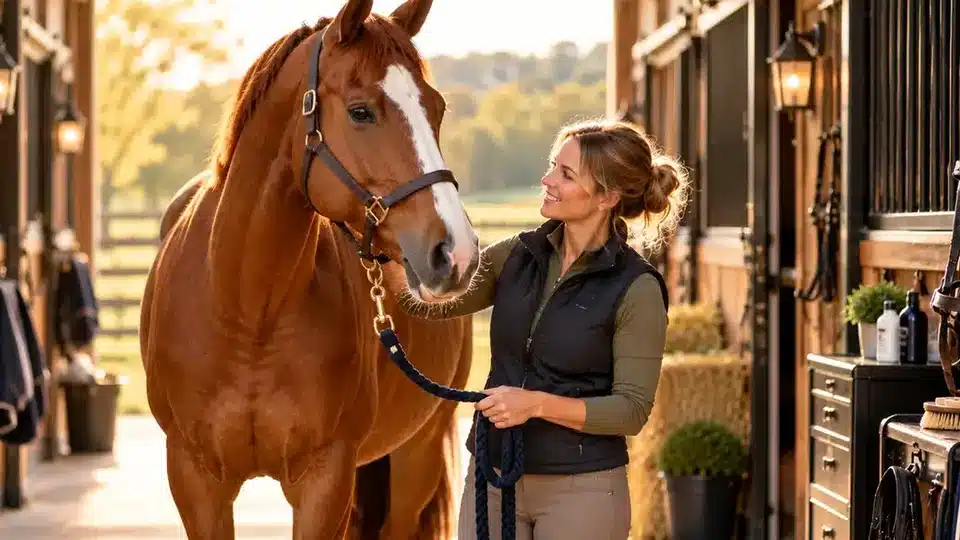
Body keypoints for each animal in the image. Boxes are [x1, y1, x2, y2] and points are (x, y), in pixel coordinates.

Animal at [139, 1, 481, 538]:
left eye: (437, 108)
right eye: (361, 111)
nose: (457, 252)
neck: (248, 310)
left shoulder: (326, 480)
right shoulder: (196, 480)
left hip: (416, 456)